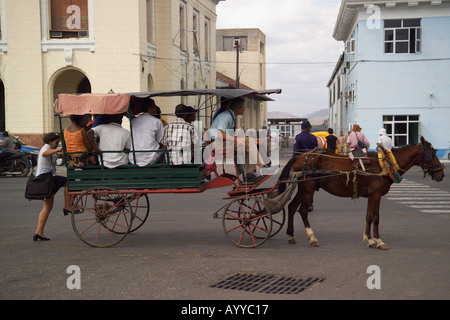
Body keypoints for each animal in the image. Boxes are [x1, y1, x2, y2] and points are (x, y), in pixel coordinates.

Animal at [280, 136, 444, 249]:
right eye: (432, 153)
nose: (441, 174)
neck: (385, 164)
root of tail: (300, 156)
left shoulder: (371, 196)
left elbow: (368, 216)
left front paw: (368, 239)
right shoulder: (376, 195)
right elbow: (376, 217)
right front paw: (378, 240)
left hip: (303, 188)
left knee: (292, 207)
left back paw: (291, 235)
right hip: (309, 188)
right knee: (303, 211)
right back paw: (312, 237)